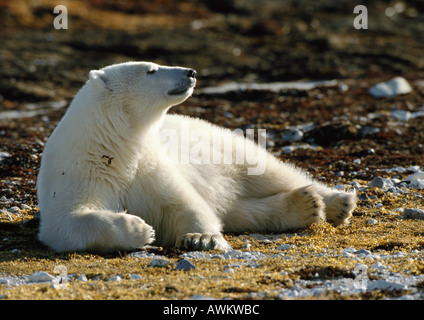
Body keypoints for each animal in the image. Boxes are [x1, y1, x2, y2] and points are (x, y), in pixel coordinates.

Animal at [36, 61, 356, 251]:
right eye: (150, 70)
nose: (191, 72)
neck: (114, 147)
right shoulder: (79, 172)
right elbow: (68, 221)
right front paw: (140, 228)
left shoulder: (149, 166)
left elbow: (185, 203)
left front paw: (201, 238)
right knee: (241, 210)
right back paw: (305, 205)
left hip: (226, 146)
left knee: (269, 172)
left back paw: (337, 202)